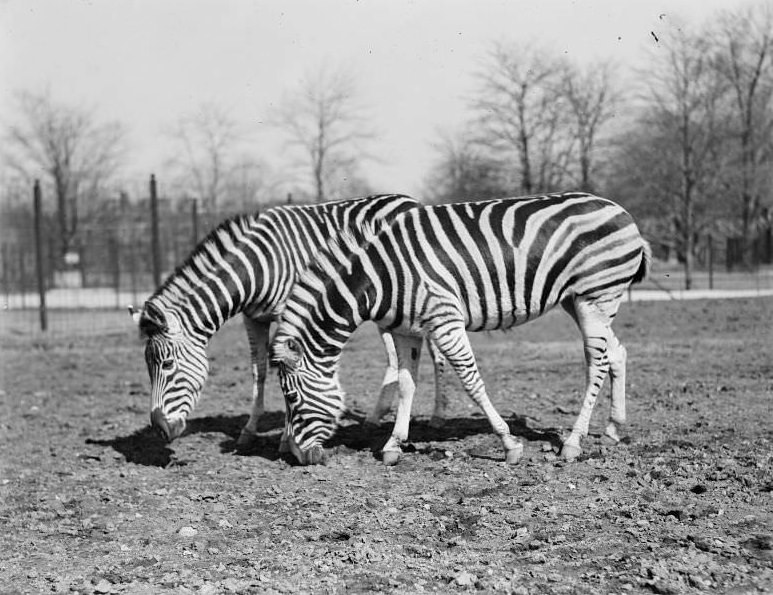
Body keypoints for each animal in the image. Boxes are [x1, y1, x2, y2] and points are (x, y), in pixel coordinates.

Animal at [129, 193, 446, 450]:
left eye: (167, 365)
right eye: (147, 367)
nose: (159, 429)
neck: (256, 268)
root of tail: (410, 200)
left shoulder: (288, 313)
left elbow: (285, 368)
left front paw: (284, 438)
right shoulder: (253, 319)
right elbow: (259, 371)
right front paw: (249, 430)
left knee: (437, 354)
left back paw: (437, 415)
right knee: (394, 358)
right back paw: (374, 417)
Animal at [272, 191, 652, 466]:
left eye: (291, 398)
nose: (296, 458)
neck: (381, 278)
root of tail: (620, 210)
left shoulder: (445, 320)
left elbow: (471, 382)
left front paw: (509, 444)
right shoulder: (406, 331)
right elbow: (407, 385)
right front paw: (394, 444)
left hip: (596, 297)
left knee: (596, 363)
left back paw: (573, 442)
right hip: (578, 301)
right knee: (617, 352)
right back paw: (613, 428)